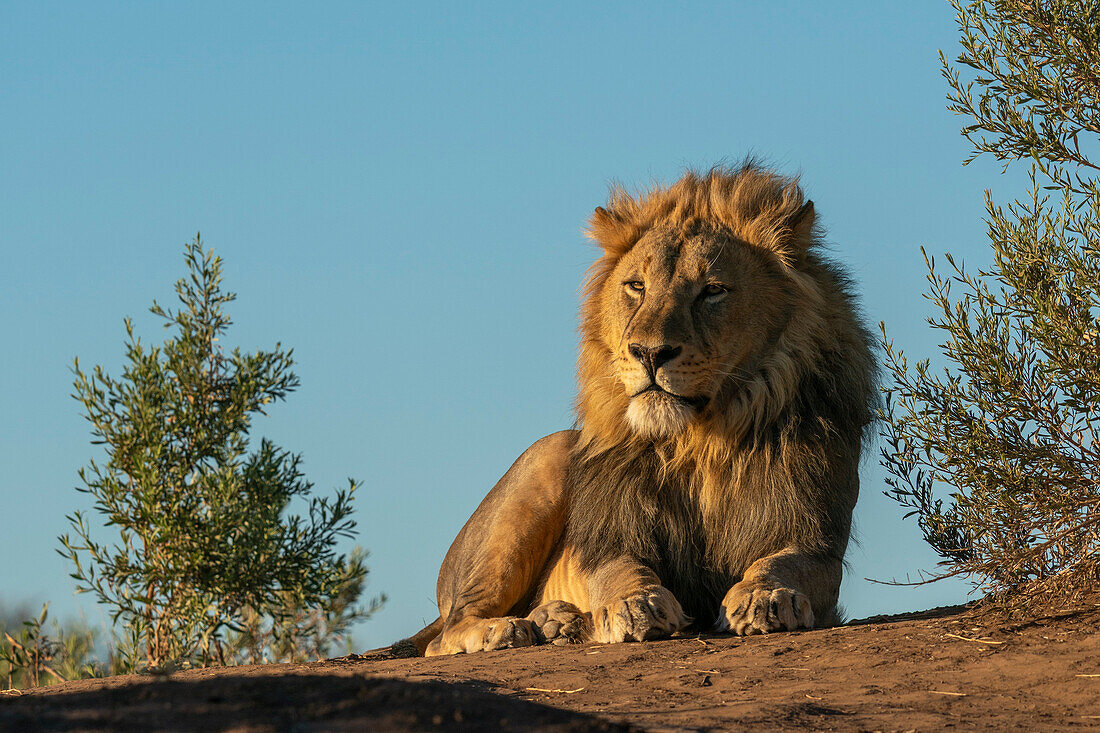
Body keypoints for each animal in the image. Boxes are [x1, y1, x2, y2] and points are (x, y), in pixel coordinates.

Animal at [396, 161, 875, 655]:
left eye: (712, 291)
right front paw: (635, 605)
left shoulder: (813, 534)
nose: (648, 352)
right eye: (636, 287)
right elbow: (620, 571)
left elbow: (785, 562)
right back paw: (506, 629)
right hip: (550, 457)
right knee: (446, 632)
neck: (701, 442)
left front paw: (765, 596)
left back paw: (555, 622)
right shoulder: (614, 535)